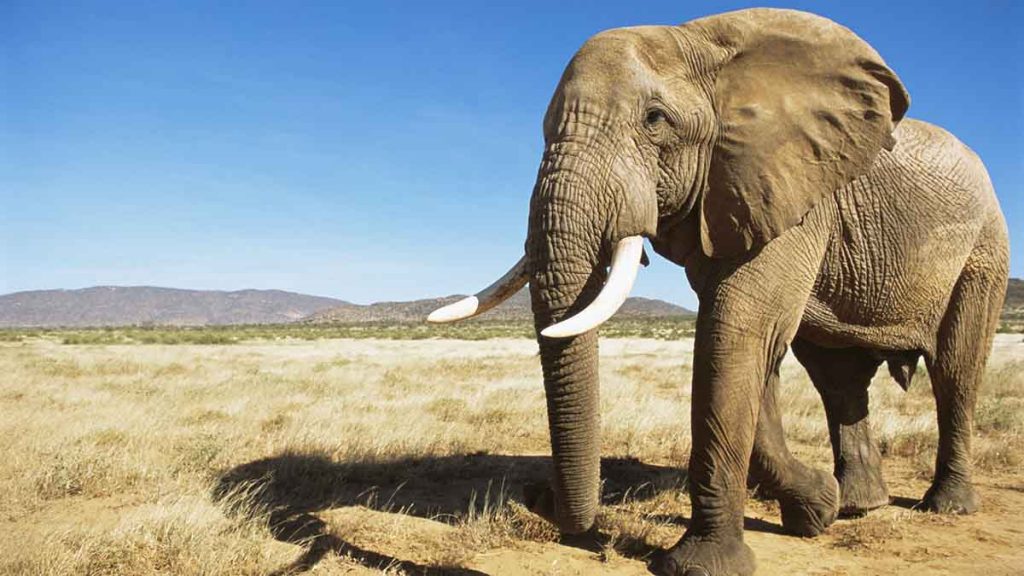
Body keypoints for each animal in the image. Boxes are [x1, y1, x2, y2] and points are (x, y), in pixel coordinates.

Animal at [427, 8, 1009, 576]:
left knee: (955, 369)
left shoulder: (791, 188)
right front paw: (814, 509)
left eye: (655, 120)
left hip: (984, 248)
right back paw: (856, 506)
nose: (539, 500)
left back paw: (946, 507)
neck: (699, 41)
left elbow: (736, 332)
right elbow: (751, 345)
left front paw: (701, 565)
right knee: (838, 379)